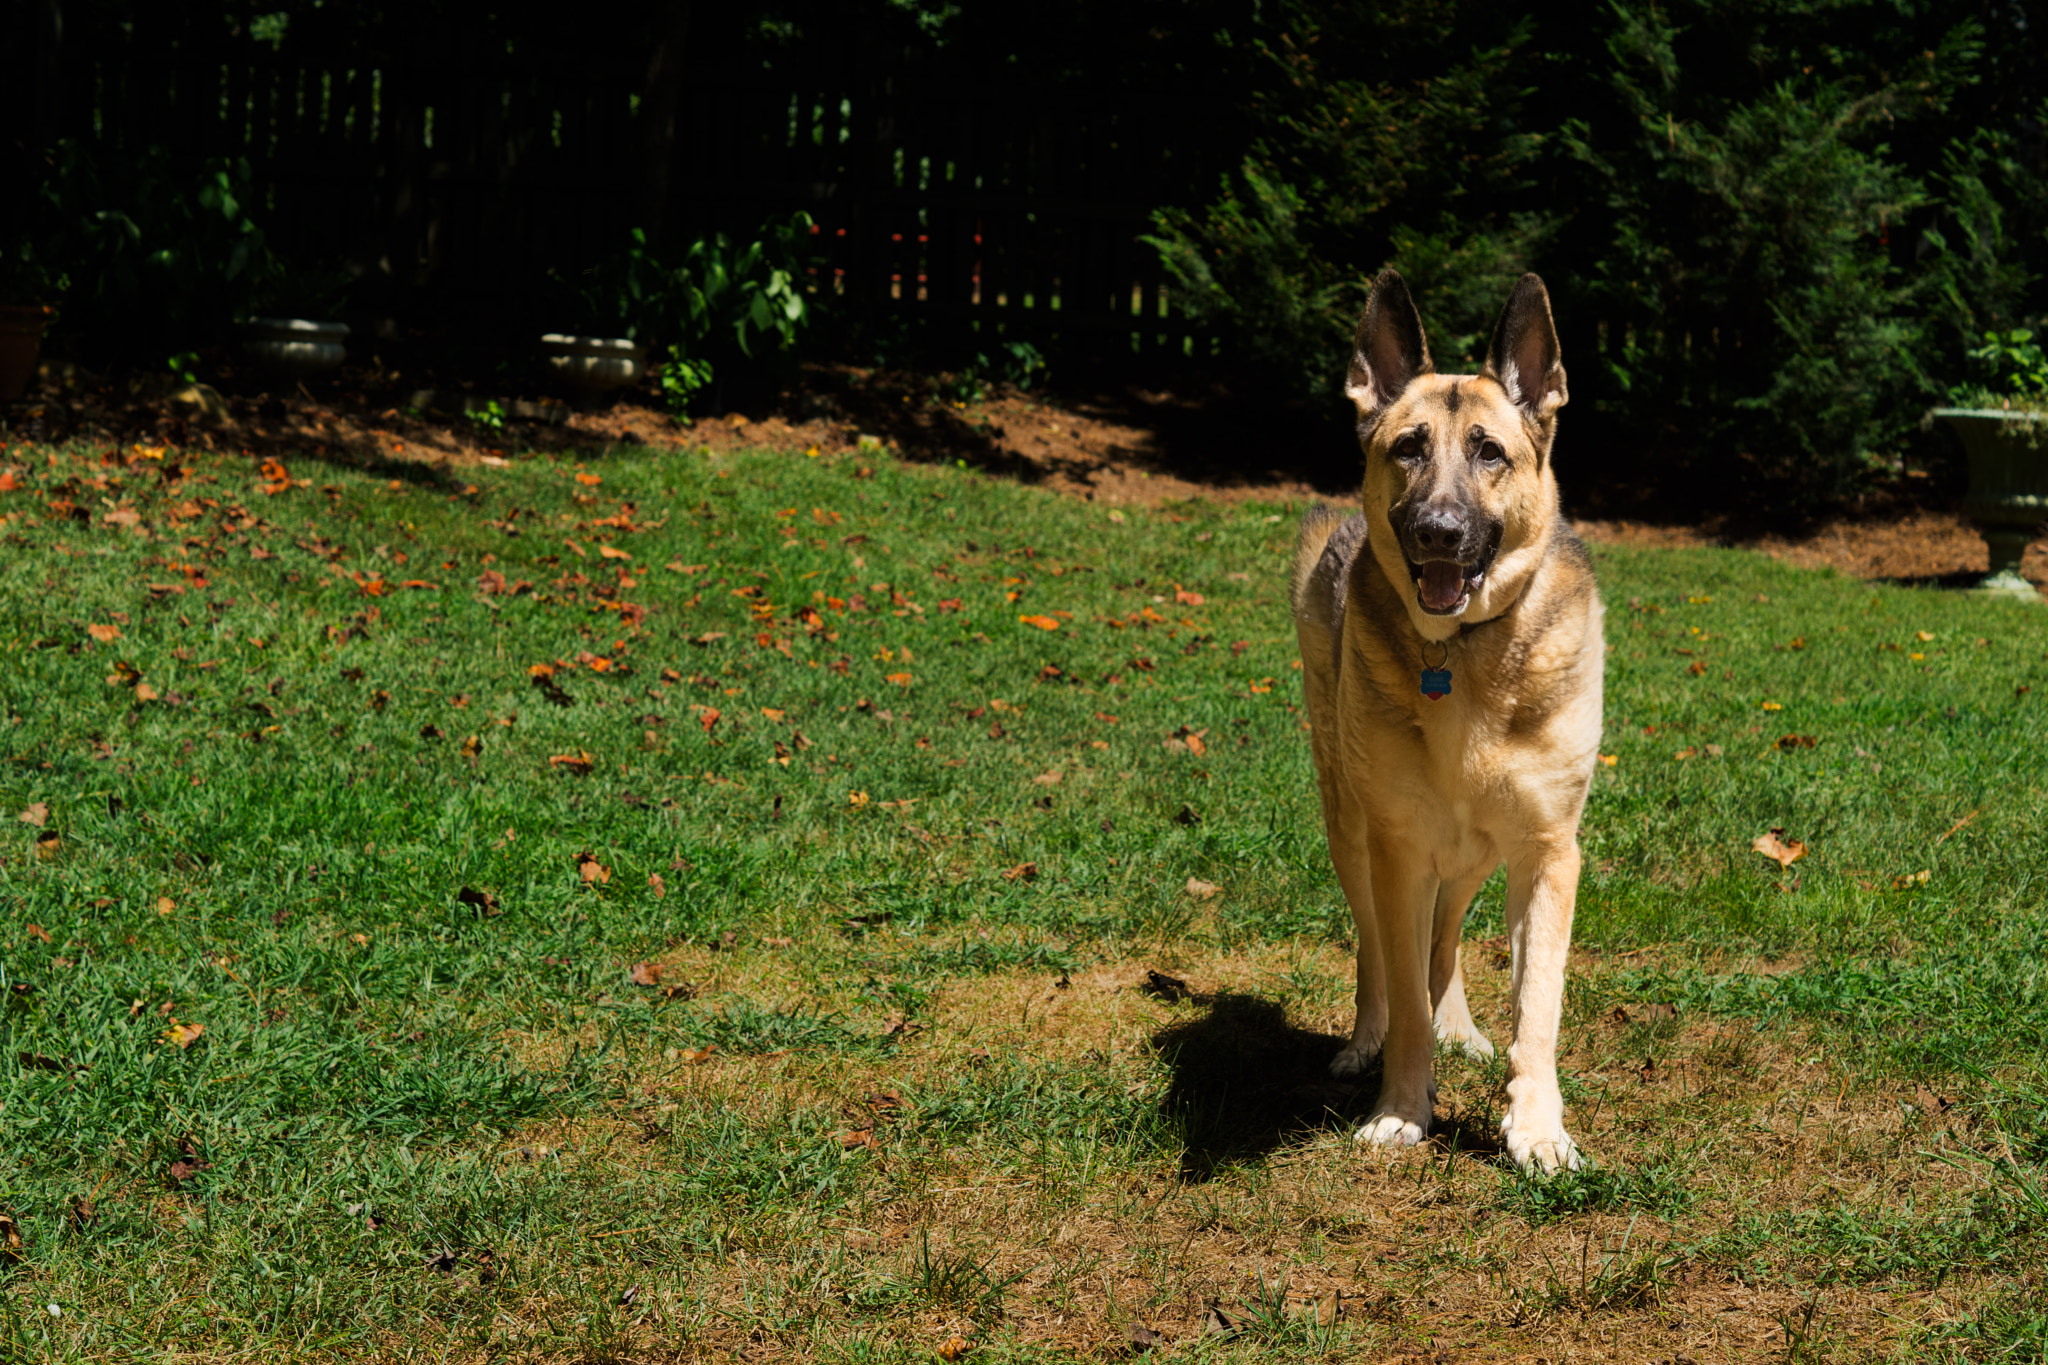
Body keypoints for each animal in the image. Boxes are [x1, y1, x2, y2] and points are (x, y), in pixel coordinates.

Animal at [1294, 270, 1597, 1178]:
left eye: (1490, 451)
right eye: (1407, 447)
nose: (1439, 532)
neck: (1462, 653)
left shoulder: (1547, 853)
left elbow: (1538, 1006)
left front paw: (1537, 1127)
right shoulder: (1397, 847)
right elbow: (1400, 981)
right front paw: (1401, 1105)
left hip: (1473, 856)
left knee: (1445, 941)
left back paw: (1458, 1025)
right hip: (1351, 824)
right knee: (1381, 951)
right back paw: (1368, 1039)